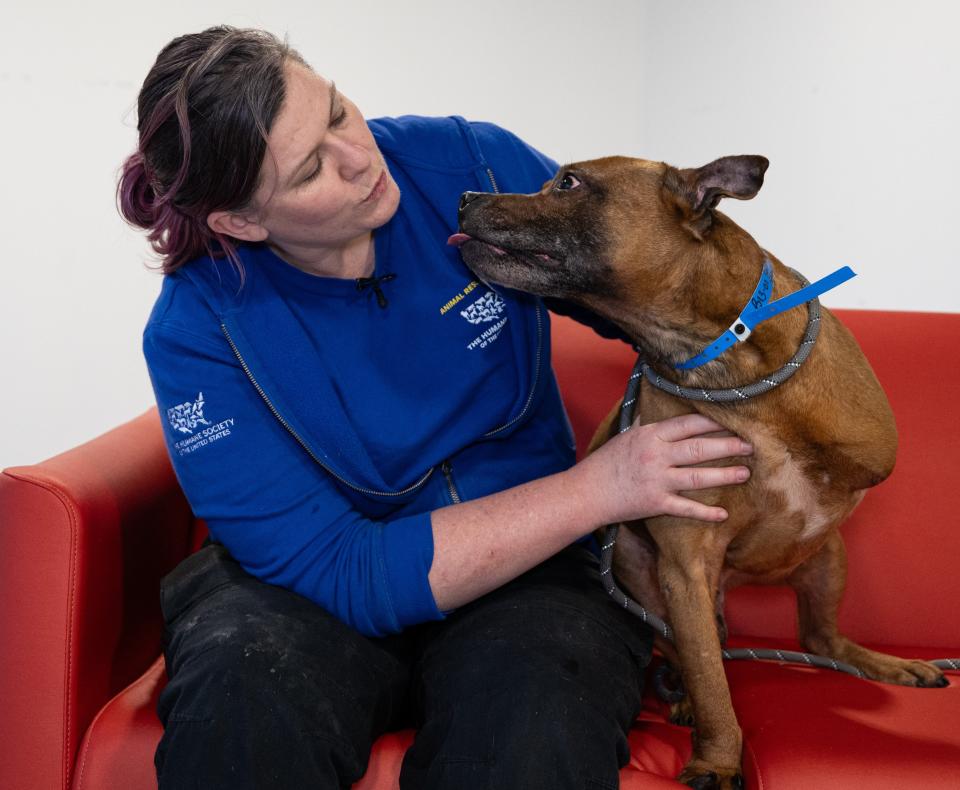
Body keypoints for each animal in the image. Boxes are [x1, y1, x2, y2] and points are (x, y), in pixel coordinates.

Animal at [454, 156, 948, 790]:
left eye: (568, 182)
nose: (464, 197)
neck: (709, 349)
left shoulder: (866, 460)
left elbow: (833, 474)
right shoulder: (685, 564)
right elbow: (714, 683)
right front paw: (717, 758)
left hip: (829, 559)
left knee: (822, 637)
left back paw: (887, 663)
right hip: (645, 574)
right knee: (705, 654)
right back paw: (686, 693)